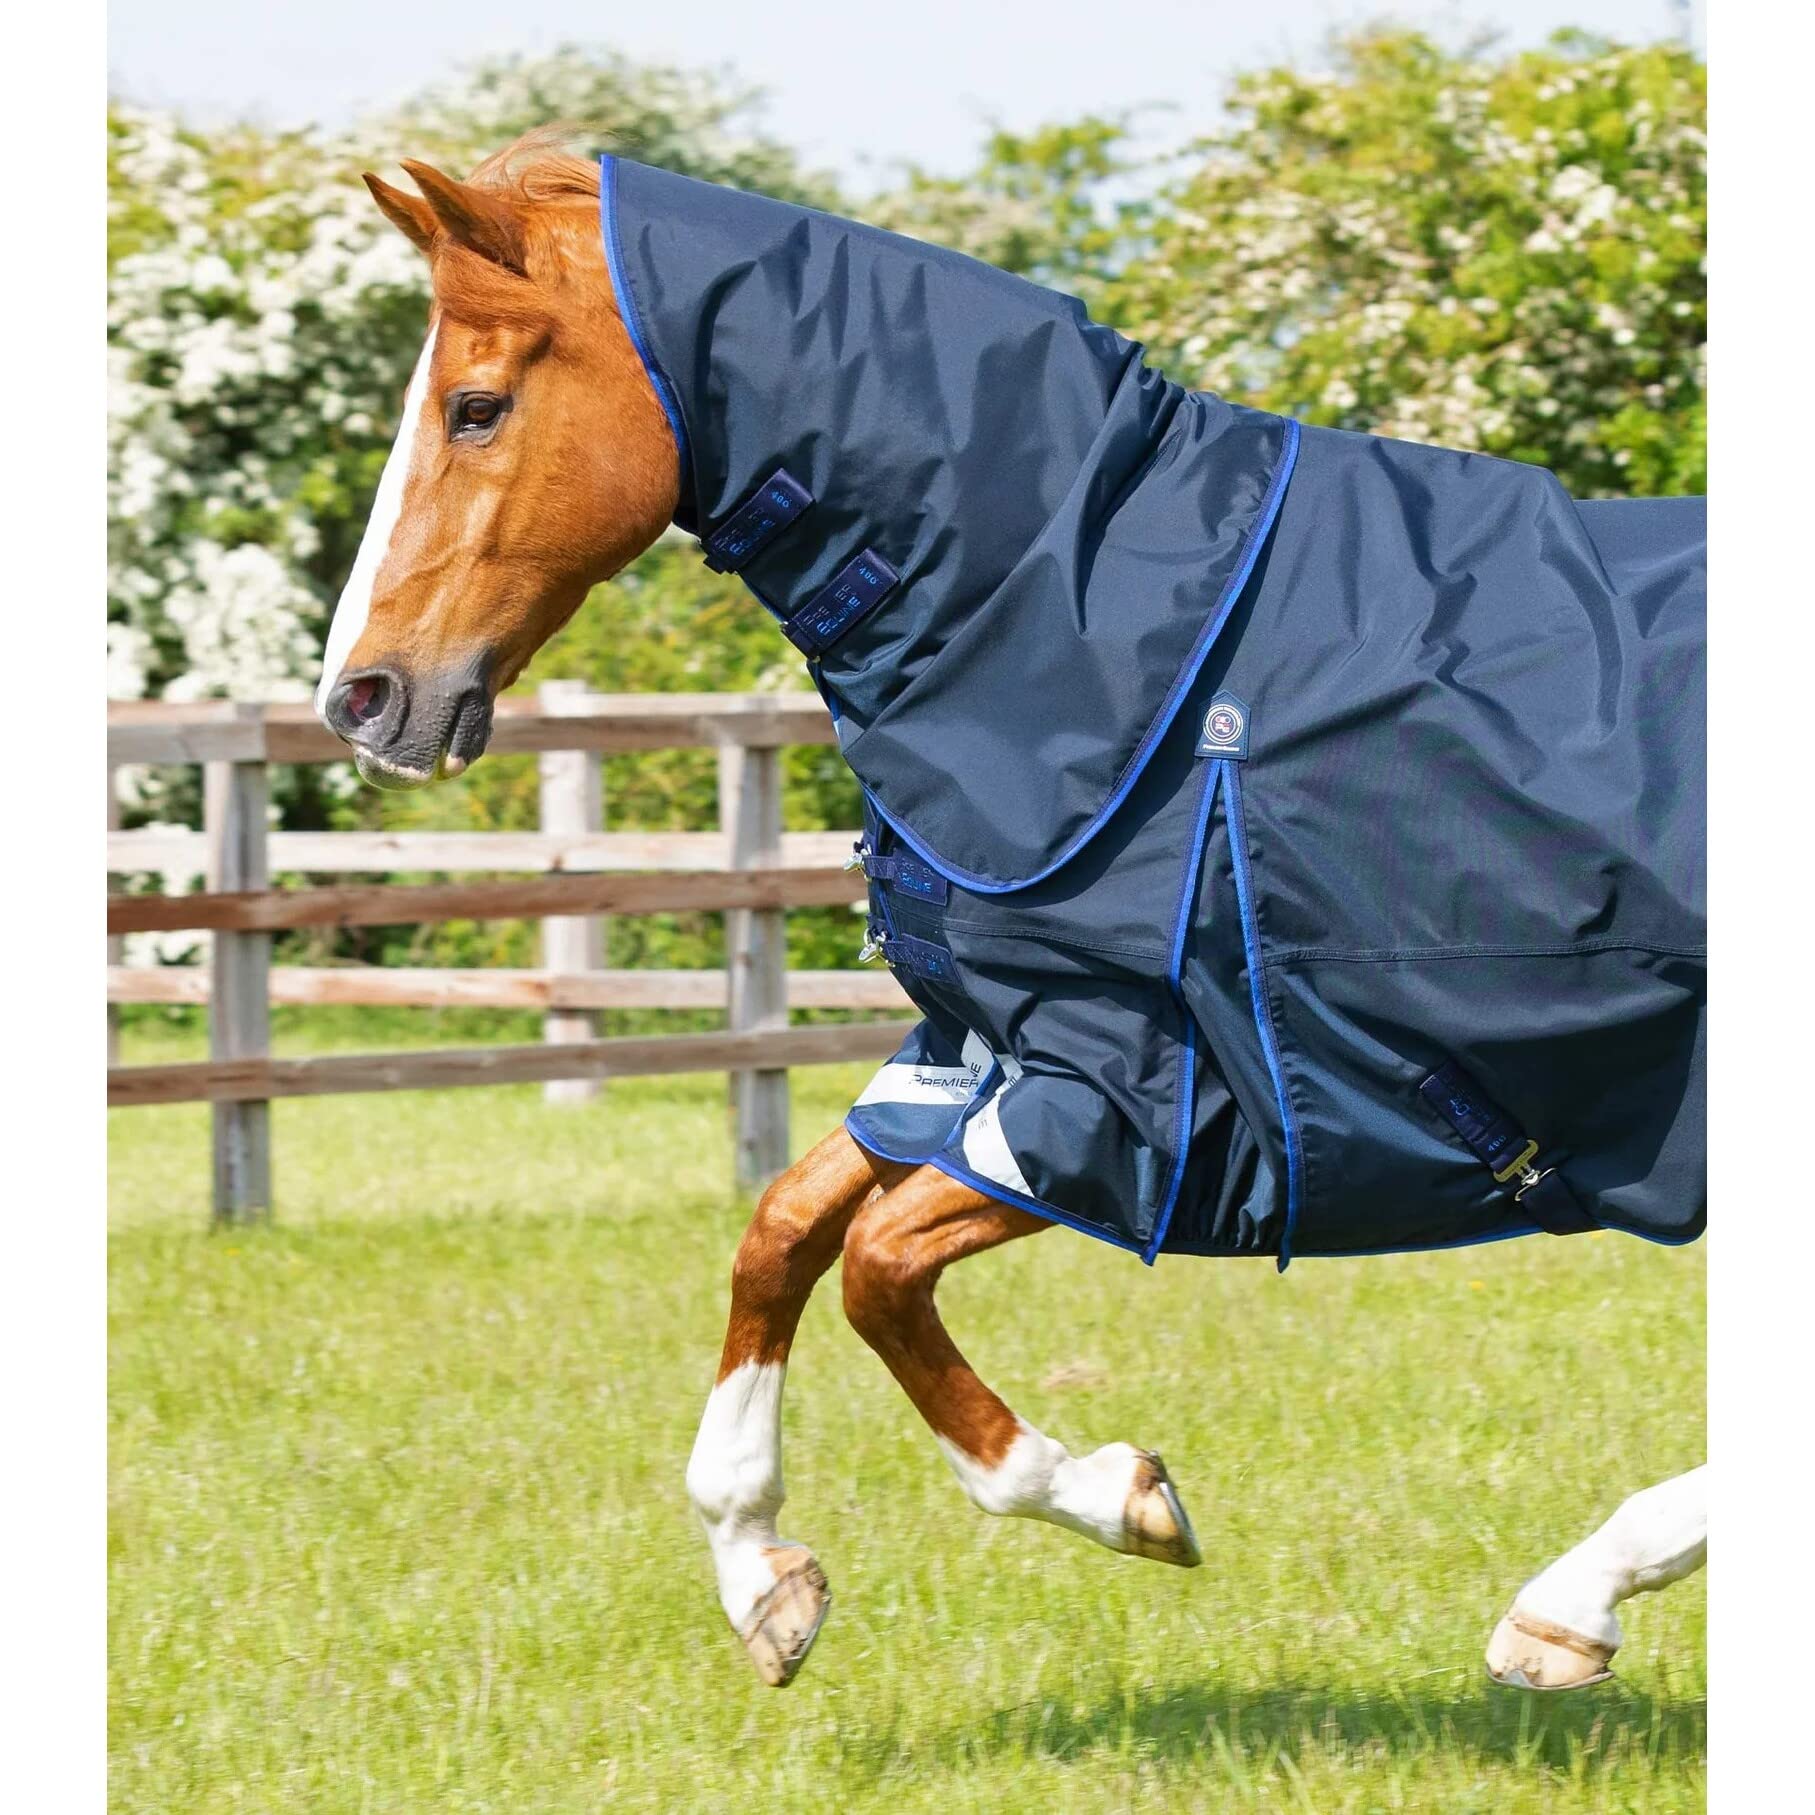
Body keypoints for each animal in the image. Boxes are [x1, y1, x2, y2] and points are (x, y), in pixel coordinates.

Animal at [314, 134, 1707, 1694]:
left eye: (475, 406)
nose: (359, 696)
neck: (1099, 634)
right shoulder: (976, 1051)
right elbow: (783, 1225)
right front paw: (761, 1575)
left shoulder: (1142, 1099)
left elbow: (874, 1267)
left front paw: (1115, 1494)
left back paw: (1573, 1596)